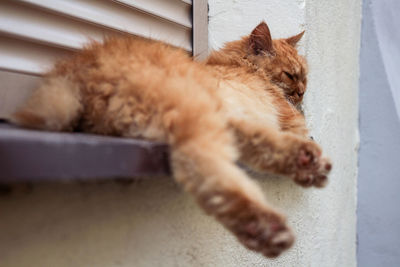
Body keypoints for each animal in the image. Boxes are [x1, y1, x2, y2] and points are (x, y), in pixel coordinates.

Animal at [11, 22, 332, 258]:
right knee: (207, 170)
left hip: (211, 117)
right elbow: (298, 128)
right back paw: (266, 227)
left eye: (305, 78)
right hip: (197, 114)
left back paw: (305, 165)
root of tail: (76, 70)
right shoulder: (289, 120)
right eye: (291, 75)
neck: (243, 68)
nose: (302, 92)